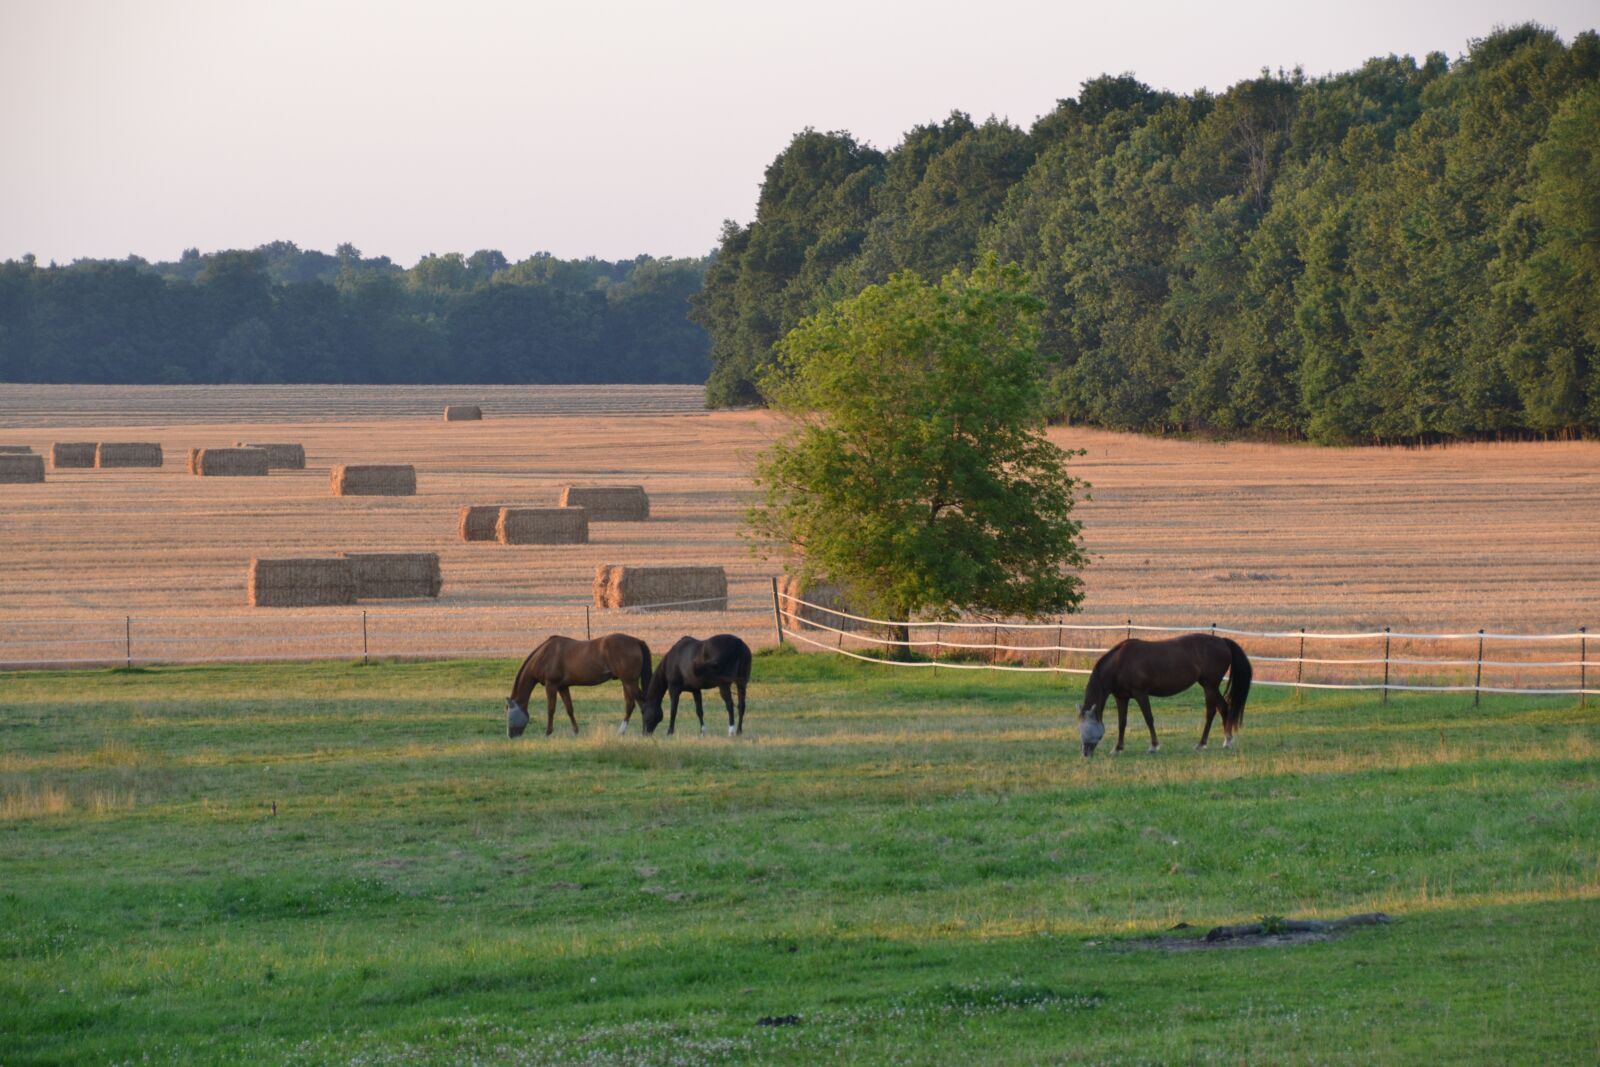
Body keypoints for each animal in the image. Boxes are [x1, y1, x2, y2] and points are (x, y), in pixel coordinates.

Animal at [505, 633, 656, 738]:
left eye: (509, 716)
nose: (510, 736)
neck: (545, 655)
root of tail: (636, 641)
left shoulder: (551, 685)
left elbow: (551, 709)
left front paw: (548, 732)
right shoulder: (562, 687)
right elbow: (569, 709)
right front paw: (576, 732)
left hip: (629, 682)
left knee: (641, 704)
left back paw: (642, 731)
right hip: (627, 682)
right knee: (631, 705)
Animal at [1076, 634, 1252, 757]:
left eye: (1087, 727)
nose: (1085, 753)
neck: (1119, 663)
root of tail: (1222, 641)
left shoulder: (1141, 694)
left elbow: (1148, 718)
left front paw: (1153, 746)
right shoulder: (1121, 697)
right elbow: (1122, 723)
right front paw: (1118, 748)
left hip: (1210, 686)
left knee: (1212, 711)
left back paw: (1203, 743)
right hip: (1210, 686)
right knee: (1223, 708)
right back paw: (1227, 740)